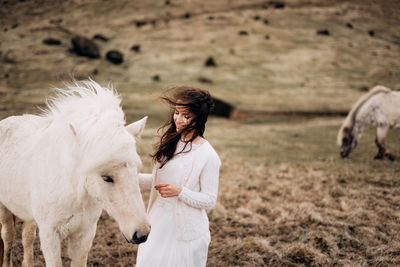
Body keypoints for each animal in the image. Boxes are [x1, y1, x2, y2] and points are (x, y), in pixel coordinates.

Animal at [0, 80, 150, 266]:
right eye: (106, 177)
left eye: (137, 171)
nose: (142, 234)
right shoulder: (50, 236)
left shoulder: (84, 235)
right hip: (4, 209)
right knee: (8, 238)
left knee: (27, 239)